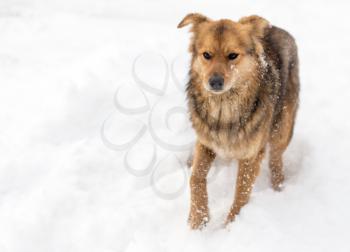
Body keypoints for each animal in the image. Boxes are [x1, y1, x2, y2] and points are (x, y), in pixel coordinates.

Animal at [178, 14, 300, 230]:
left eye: (232, 55)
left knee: (276, 161)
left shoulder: (251, 154)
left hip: (282, 129)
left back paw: (278, 188)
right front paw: (198, 218)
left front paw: (231, 226)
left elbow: (241, 193)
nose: (214, 82)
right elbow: (196, 178)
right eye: (206, 55)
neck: (224, 109)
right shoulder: (206, 142)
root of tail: (275, 27)